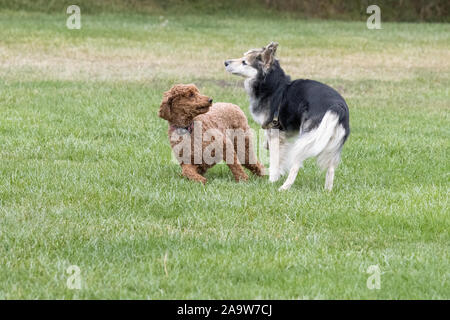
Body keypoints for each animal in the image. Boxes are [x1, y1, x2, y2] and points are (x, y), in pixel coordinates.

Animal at [227, 42, 350, 190]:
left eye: (244, 62)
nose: (225, 62)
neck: (271, 85)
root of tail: (337, 106)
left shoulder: (274, 131)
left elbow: (274, 159)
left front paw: (272, 180)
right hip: (331, 141)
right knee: (331, 168)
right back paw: (327, 190)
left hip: (306, 140)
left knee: (296, 165)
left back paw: (284, 187)